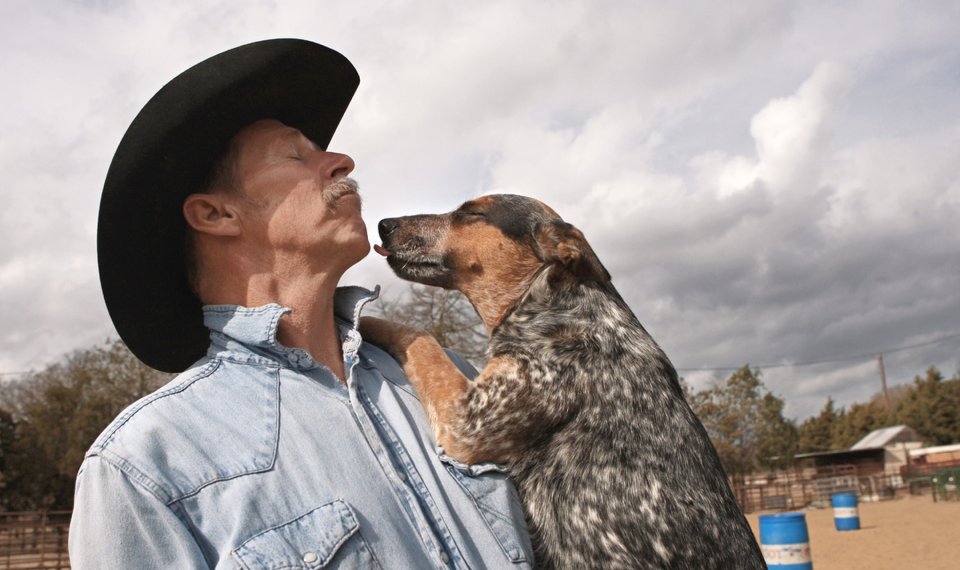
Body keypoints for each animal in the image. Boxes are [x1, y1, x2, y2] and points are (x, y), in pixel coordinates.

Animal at [361, 194, 765, 569]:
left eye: (471, 212)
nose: (383, 224)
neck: (555, 306)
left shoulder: (464, 419)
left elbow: (418, 336)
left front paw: (360, 318)